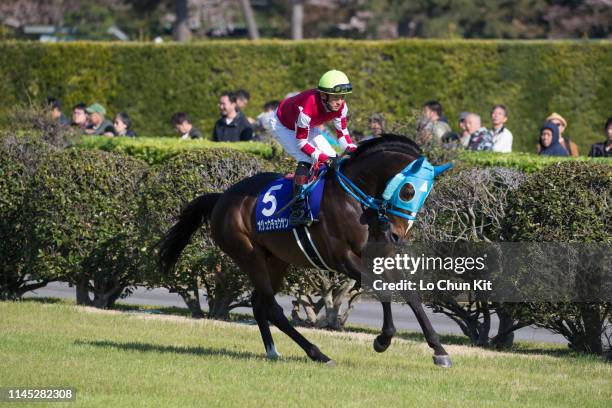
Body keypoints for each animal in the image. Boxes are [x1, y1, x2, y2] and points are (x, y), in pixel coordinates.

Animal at [159, 135, 454, 368]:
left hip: (276, 260)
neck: (357, 197)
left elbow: (409, 293)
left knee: (259, 303)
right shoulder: (343, 259)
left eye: (425, 196)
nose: (397, 235)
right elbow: (382, 288)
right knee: (272, 307)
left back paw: (273, 352)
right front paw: (383, 339)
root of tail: (221, 198)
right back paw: (318, 354)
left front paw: (438, 350)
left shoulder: (381, 254)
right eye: (408, 191)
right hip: (247, 253)